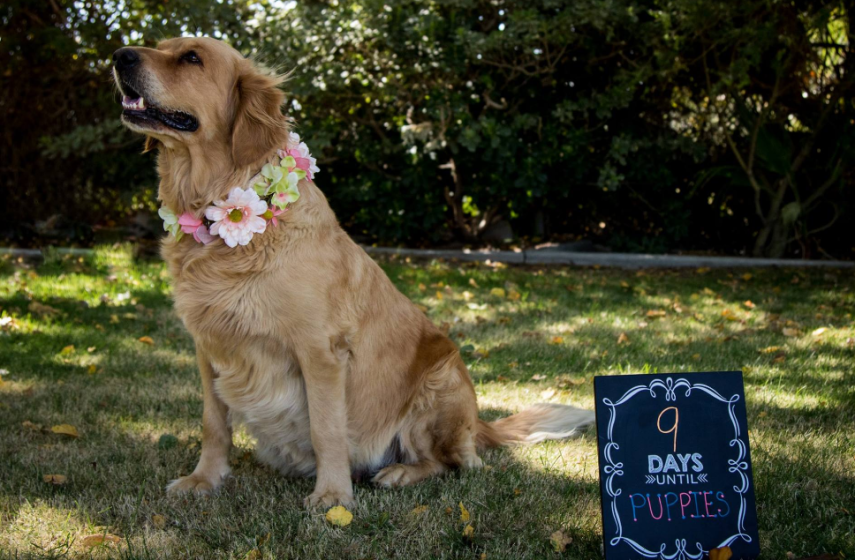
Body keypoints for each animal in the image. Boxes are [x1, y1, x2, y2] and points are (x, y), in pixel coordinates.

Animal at [113, 36, 596, 508]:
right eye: (160, 45)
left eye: (192, 58)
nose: (119, 55)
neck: (219, 213)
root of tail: (479, 424)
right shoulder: (209, 350)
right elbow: (213, 424)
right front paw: (204, 479)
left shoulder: (320, 351)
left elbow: (326, 429)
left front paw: (332, 496)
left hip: (441, 381)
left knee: (454, 464)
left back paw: (400, 472)